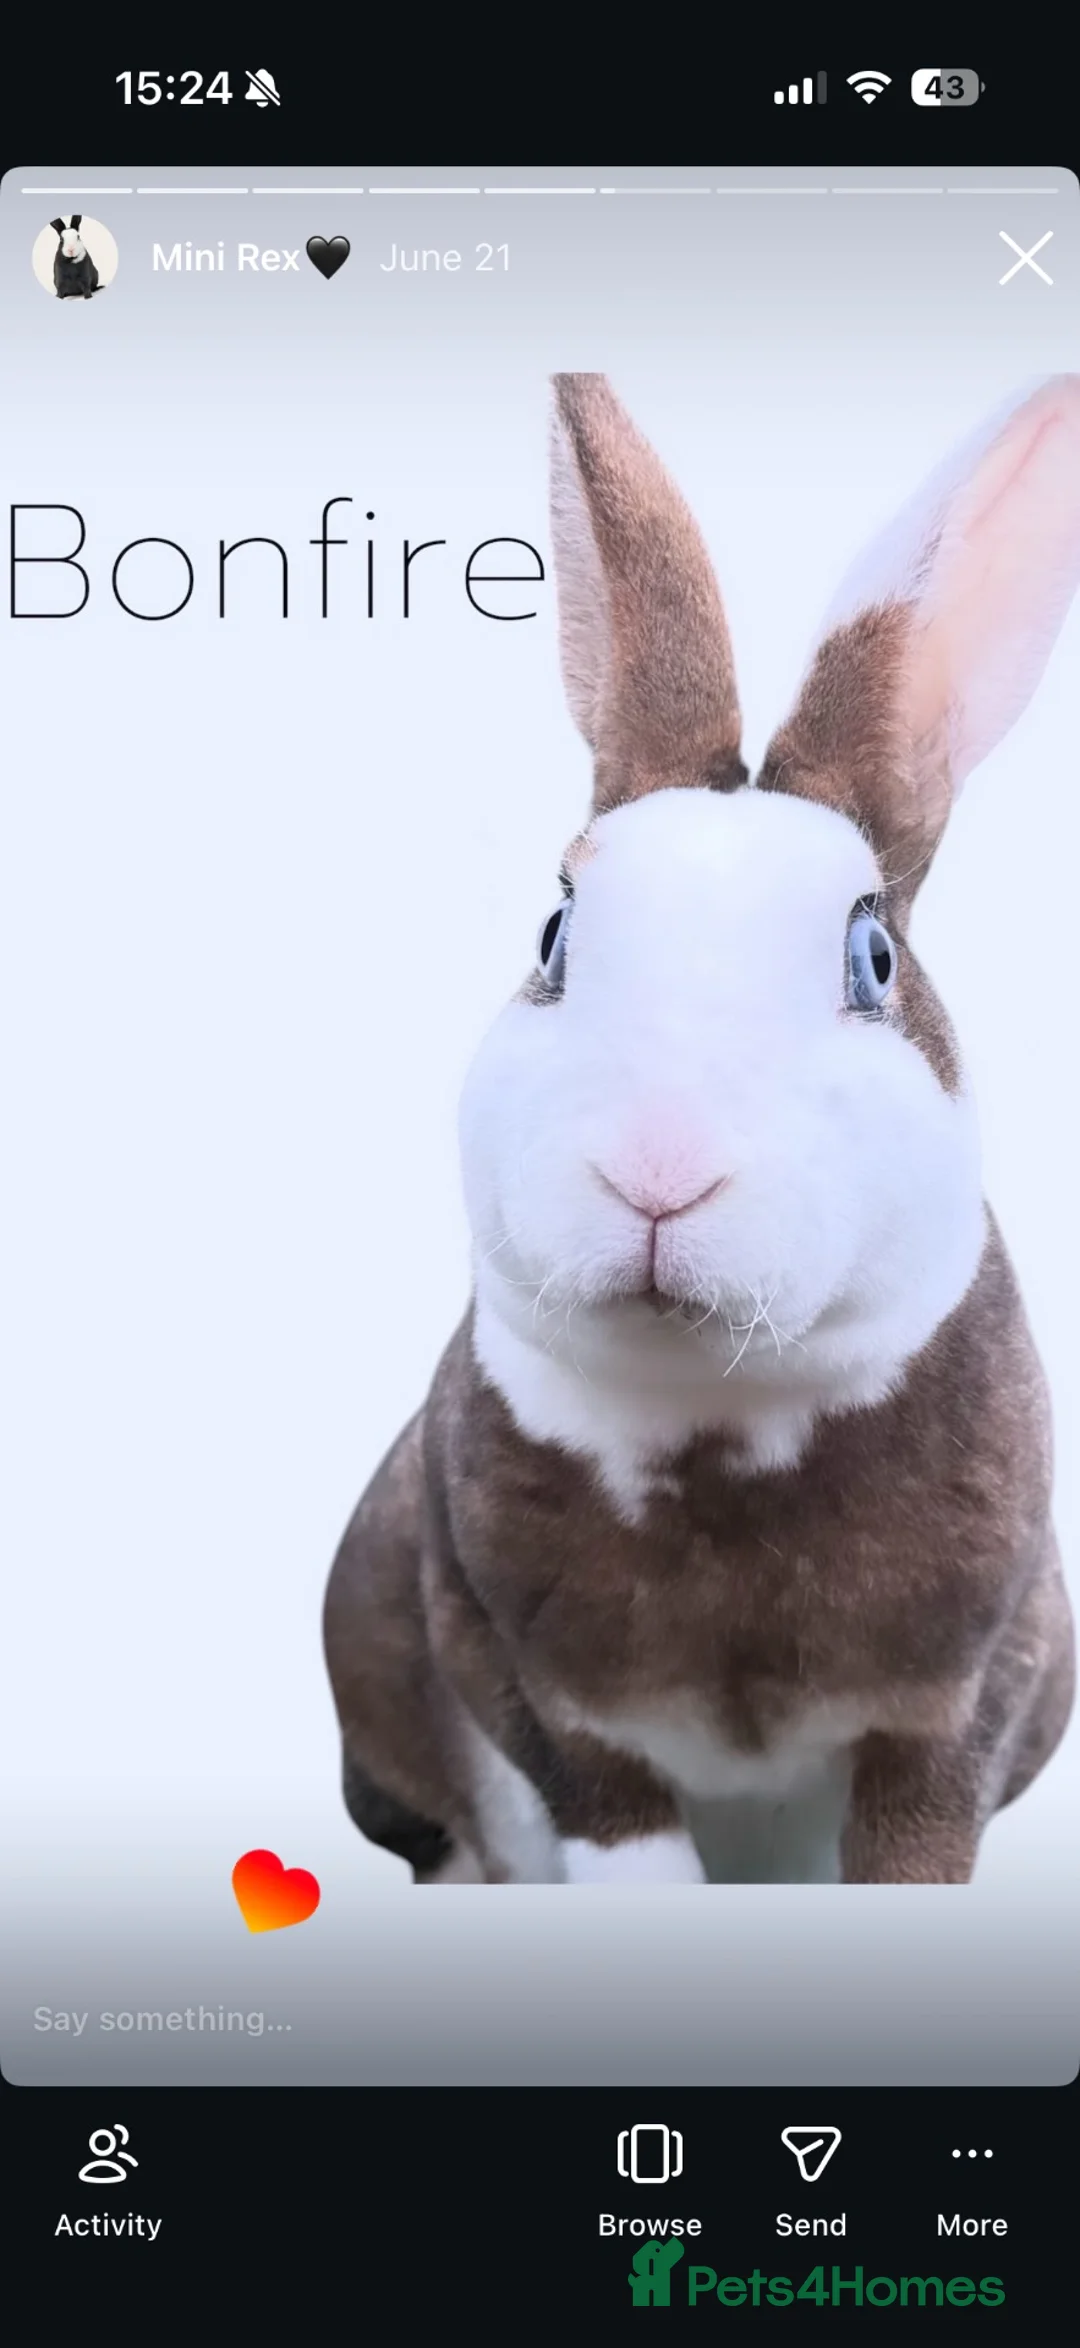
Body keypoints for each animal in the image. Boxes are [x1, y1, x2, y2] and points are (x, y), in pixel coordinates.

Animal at [324, 371, 1080, 1886]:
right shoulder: (546, 1699)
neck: (717, 1409)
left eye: (872, 961)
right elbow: (613, 1822)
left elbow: (918, 1837)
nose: (657, 1171)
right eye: (554, 937)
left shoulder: (961, 1697)